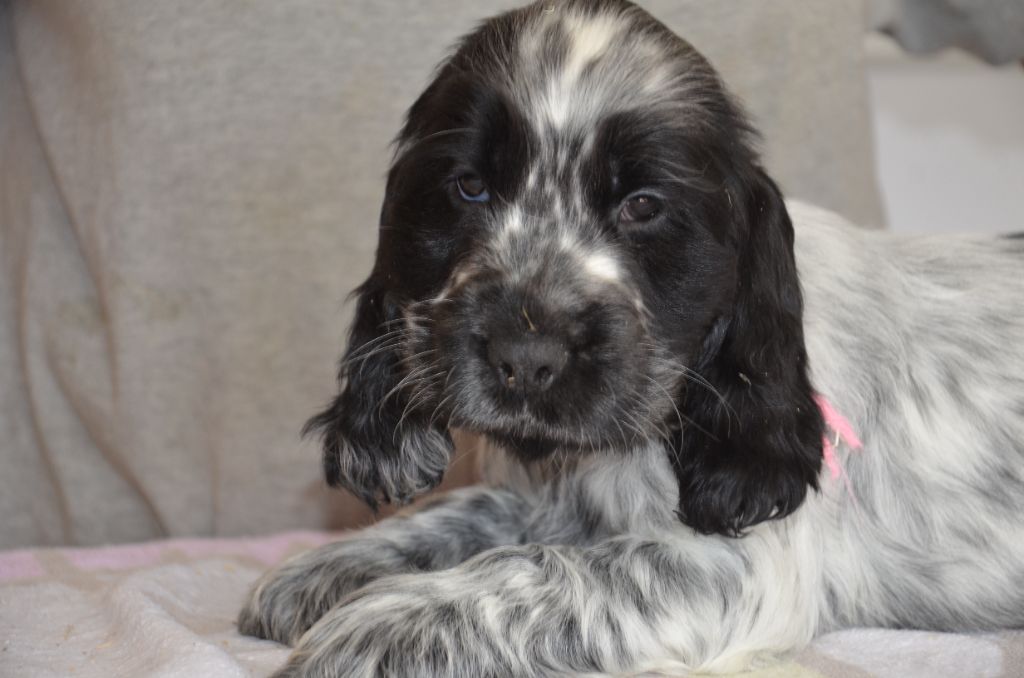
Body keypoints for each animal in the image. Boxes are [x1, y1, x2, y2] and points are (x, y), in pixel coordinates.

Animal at [238, 1, 1024, 675]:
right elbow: (467, 511)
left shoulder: (729, 569)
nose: (525, 356)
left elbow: (538, 568)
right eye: (469, 187)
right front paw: (326, 568)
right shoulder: (548, 498)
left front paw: (375, 626)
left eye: (643, 205)